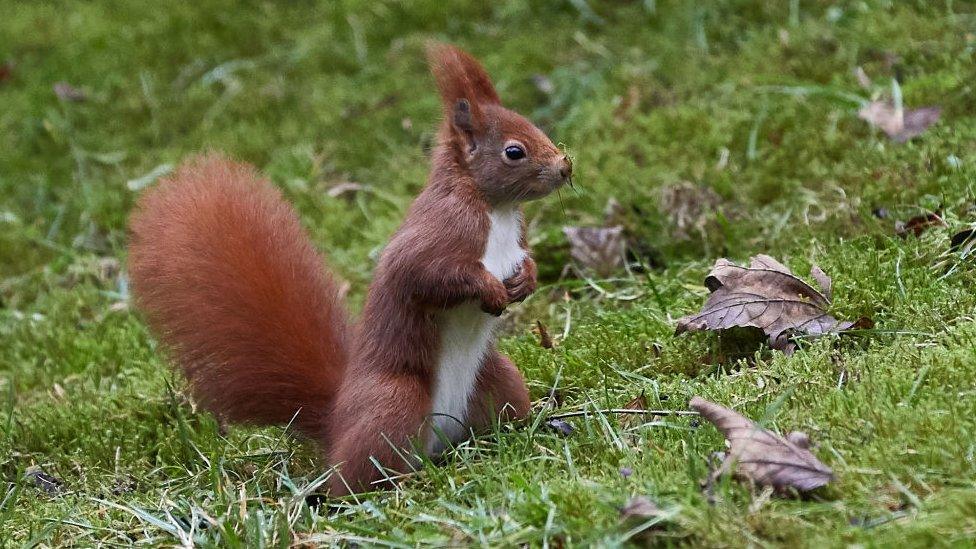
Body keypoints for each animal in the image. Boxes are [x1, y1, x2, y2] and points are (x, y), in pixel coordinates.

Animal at [129, 45, 572, 494]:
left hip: (498, 379)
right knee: (357, 476)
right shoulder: (440, 232)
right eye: (514, 151)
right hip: (395, 404)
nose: (565, 167)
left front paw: (527, 278)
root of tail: (337, 424)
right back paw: (395, 484)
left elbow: (523, 257)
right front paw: (490, 288)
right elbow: (427, 274)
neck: (496, 210)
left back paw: (524, 431)